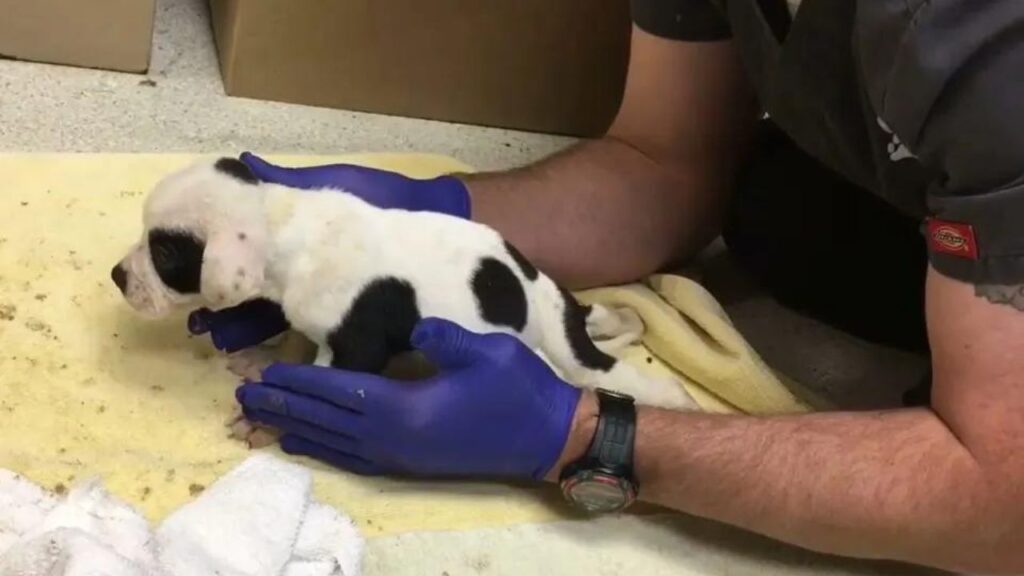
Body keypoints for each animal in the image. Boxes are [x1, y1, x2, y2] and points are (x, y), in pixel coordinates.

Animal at [114, 158, 704, 440]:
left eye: (165, 253)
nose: (118, 276)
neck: (287, 222)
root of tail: (553, 294)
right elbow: (295, 348)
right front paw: (266, 360)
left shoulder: (357, 348)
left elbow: (318, 384)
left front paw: (269, 420)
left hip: (569, 350)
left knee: (610, 374)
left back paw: (677, 399)